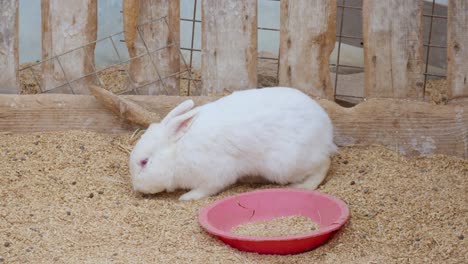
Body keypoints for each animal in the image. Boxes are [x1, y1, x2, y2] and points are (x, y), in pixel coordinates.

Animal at [130, 86, 338, 200]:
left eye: (144, 162)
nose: (136, 188)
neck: (176, 151)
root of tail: (326, 130)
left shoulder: (215, 174)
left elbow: (207, 189)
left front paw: (187, 197)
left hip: (286, 165)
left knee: (324, 163)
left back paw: (303, 186)